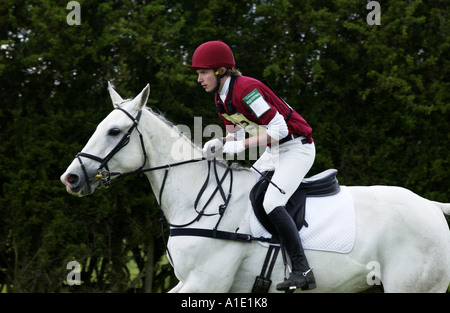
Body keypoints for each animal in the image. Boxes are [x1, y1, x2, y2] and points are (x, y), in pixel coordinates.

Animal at [60, 83, 450, 292]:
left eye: (114, 132)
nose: (71, 178)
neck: (198, 201)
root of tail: (430, 206)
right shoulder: (195, 282)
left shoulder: (207, 281)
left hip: (411, 285)